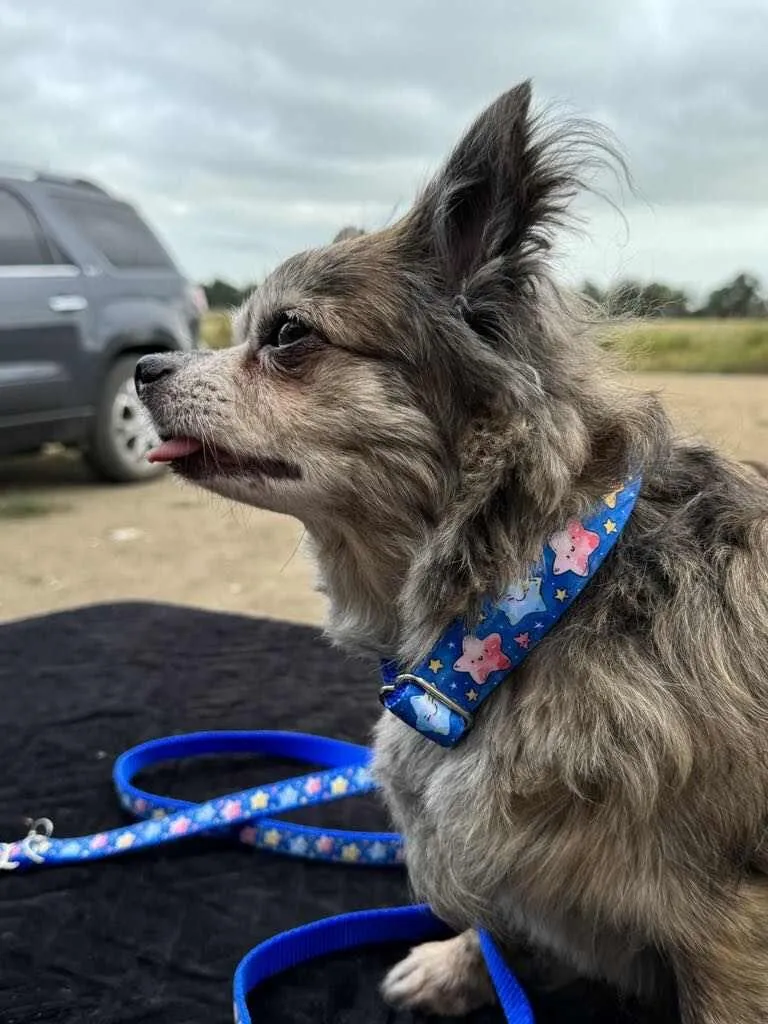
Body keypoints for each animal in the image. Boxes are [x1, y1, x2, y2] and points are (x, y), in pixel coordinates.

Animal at [138, 81, 768, 1024]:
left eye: (285, 335)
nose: (144, 366)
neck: (533, 601)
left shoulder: (735, 945)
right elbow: (501, 928)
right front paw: (462, 964)